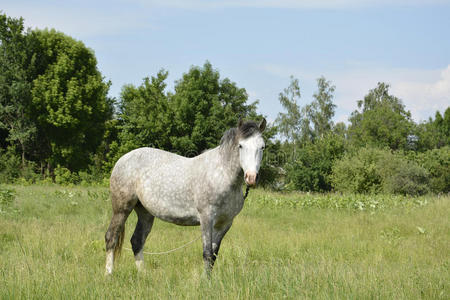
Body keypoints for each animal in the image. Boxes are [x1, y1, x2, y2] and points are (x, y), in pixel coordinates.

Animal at [104, 118, 268, 276]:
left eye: (262, 147)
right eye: (241, 146)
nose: (251, 178)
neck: (222, 175)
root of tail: (123, 159)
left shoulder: (225, 224)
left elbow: (214, 255)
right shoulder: (206, 219)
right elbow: (207, 253)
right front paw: (205, 281)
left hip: (145, 213)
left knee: (137, 241)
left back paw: (143, 274)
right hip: (121, 209)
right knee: (111, 237)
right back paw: (109, 273)